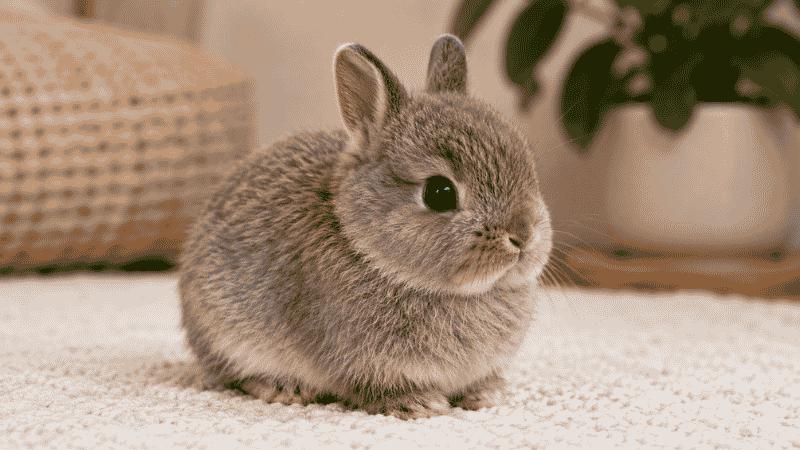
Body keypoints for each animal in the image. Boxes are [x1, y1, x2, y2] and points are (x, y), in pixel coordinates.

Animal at [179, 34, 553, 420]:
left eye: (527, 165)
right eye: (439, 192)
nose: (523, 237)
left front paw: (488, 394)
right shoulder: (361, 362)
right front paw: (420, 404)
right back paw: (284, 388)